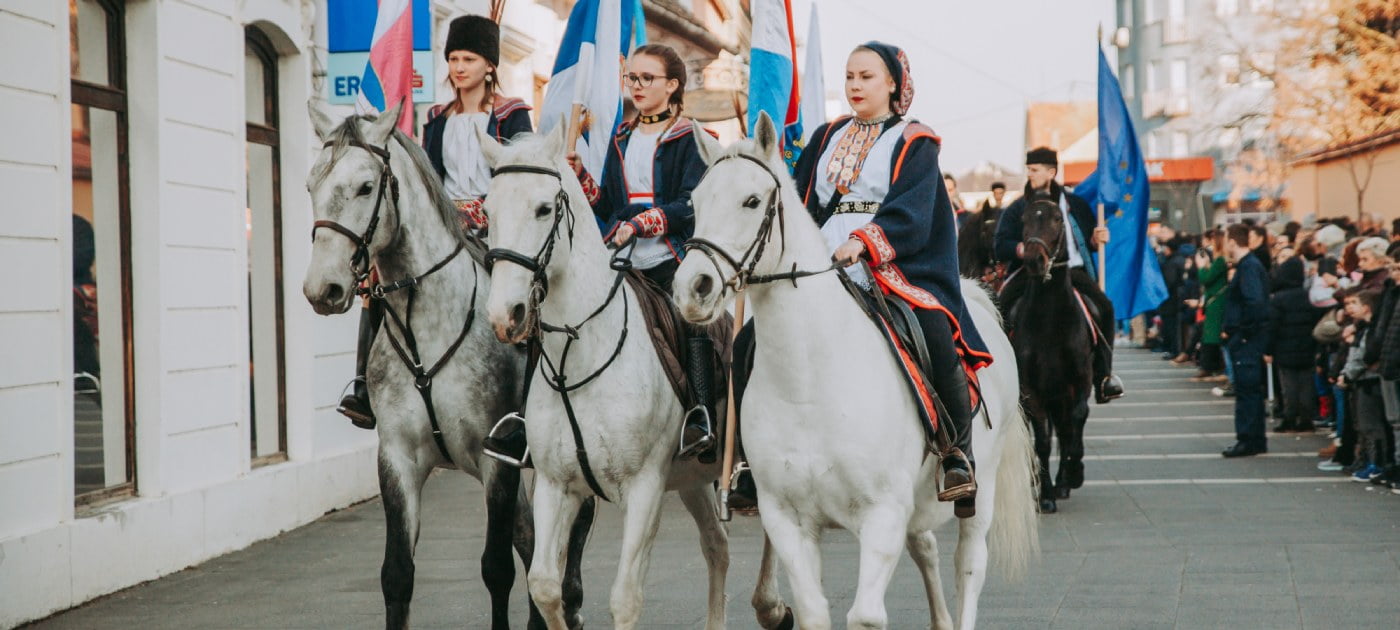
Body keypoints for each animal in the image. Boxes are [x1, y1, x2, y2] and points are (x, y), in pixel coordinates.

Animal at [473, 120, 728, 627]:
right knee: (717, 546)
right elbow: (544, 585)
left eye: (543, 208)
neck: (581, 353)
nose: (505, 315)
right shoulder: (555, 485)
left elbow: (625, 596)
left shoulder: (645, 488)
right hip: (694, 478)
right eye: (488, 210)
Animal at [672, 114, 1036, 630]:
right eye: (696, 202)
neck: (808, 380)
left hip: (977, 494)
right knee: (925, 546)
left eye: (752, 200)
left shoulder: (882, 513)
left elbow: (864, 617)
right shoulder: (787, 519)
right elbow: (812, 611)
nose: (692, 289)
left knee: (969, 566)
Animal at [1008, 198, 1092, 515]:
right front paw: (1045, 496)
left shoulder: (1081, 380)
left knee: (1068, 429)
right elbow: (1042, 440)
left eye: (1058, 218)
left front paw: (1074, 473)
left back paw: (1065, 481)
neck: (1050, 320)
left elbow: (1078, 421)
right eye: (1024, 219)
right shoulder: (1032, 389)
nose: (1034, 260)